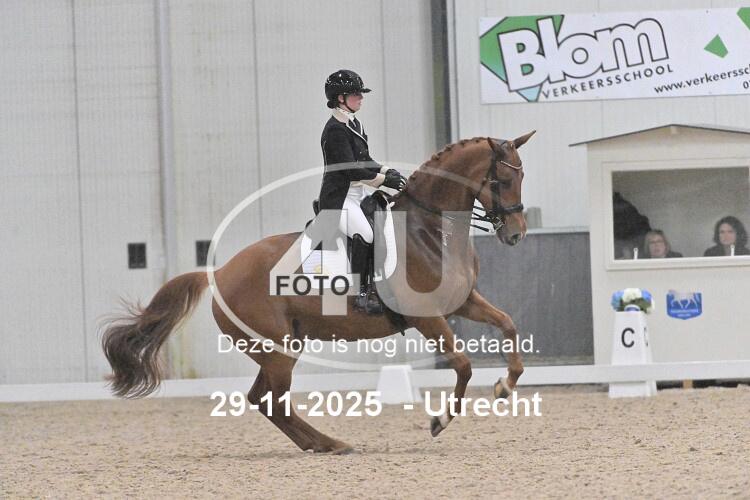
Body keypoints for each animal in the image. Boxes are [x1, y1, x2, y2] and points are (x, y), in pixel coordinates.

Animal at [101, 132, 535, 454]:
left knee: (263, 398)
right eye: (501, 180)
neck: (428, 230)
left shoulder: (463, 302)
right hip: (277, 349)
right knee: (274, 401)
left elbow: (509, 325)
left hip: (280, 347)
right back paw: (332, 443)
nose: (516, 234)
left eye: (522, 177)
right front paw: (439, 421)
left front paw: (505, 386)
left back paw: (324, 444)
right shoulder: (426, 316)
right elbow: (463, 365)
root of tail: (220, 272)